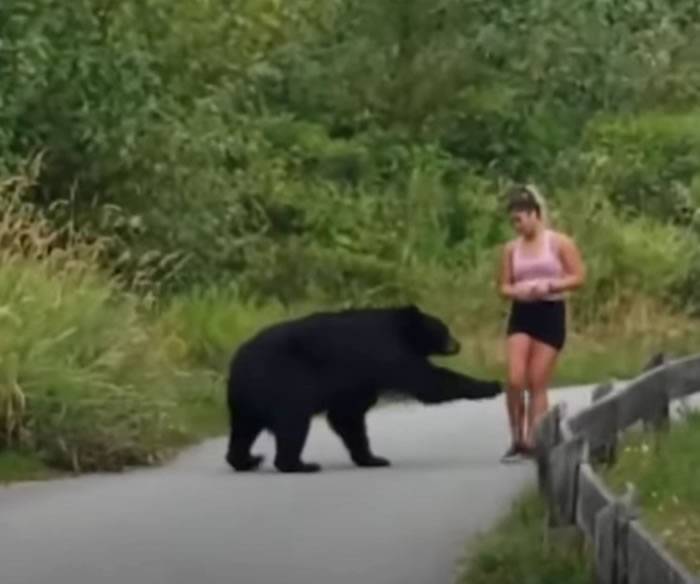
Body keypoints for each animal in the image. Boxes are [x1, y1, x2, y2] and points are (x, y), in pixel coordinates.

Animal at [226, 306, 504, 474]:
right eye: (444, 329)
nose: (457, 345)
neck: (400, 330)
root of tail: (237, 363)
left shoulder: (359, 379)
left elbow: (348, 417)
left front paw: (373, 459)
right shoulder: (387, 353)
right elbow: (430, 383)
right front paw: (492, 385)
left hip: (247, 400)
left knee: (243, 431)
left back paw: (246, 460)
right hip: (284, 385)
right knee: (292, 423)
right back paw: (299, 464)